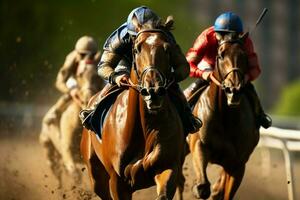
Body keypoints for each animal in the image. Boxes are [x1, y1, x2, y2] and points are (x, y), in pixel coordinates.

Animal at [39, 58, 104, 187]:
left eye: (97, 76)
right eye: (79, 74)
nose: (87, 97)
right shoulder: (67, 151)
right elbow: (75, 173)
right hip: (49, 150)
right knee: (58, 173)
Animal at [81, 28, 186, 199]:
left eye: (167, 49)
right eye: (137, 49)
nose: (153, 91)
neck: (144, 128)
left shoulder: (168, 167)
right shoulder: (117, 181)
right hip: (95, 173)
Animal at [188, 34, 260, 200]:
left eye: (244, 55)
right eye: (220, 55)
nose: (234, 89)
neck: (225, 117)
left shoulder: (238, 164)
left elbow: (224, 193)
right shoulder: (199, 144)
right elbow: (202, 187)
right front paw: (196, 186)